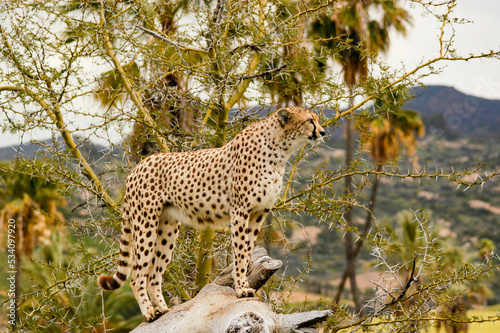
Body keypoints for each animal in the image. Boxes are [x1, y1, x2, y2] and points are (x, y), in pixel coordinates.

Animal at [97, 105, 326, 320]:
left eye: (316, 119)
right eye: (310, 120)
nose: (323, 132)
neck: (279, 149)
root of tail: (137, 166)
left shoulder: (259, 213)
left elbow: (247, 252)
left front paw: (244, 285)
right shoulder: (240, 211)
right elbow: (240, 253)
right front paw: (241, 289)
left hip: (167, 228)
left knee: (154, 275)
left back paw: (164, 310)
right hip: (145, 223)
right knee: (138, 275)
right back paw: (149, 313)